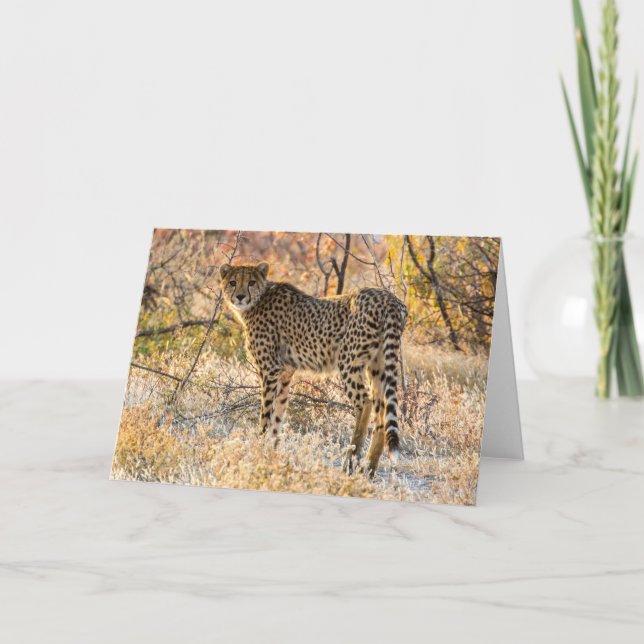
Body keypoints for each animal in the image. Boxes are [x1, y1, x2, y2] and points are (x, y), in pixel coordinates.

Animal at [219, 261, 407, 475]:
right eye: (233, 282)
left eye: (251, 282)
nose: (240, 296)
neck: (257, 301)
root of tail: (389, 298)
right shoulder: (284, 373)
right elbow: (278, 414)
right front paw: (272, 453)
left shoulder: (269, 370)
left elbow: (266, 414)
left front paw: (259, 449)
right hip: (377, 364)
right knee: (381, 411)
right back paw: (368, 468)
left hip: (348, 361)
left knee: (365, 402)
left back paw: (351, 460)